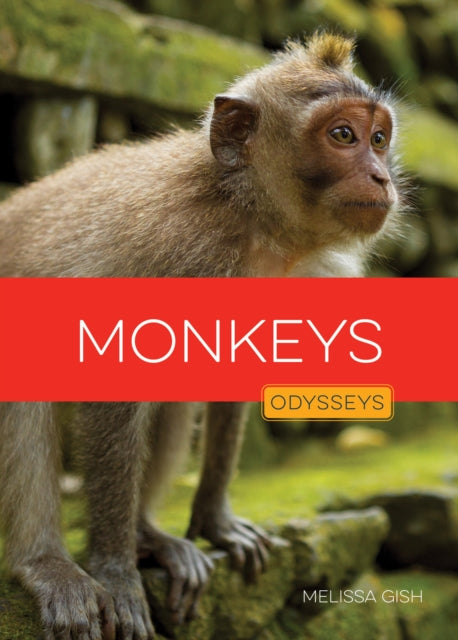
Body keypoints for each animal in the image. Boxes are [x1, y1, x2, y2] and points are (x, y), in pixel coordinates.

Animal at [0, 32, 403, 640]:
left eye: (378, 139)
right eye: (342, 135)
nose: (382, 177)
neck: (251, 220)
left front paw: (215, 521)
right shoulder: (175, 249)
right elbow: (115, 381)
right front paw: (115, 570)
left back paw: (149, 535)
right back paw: (46, 563)